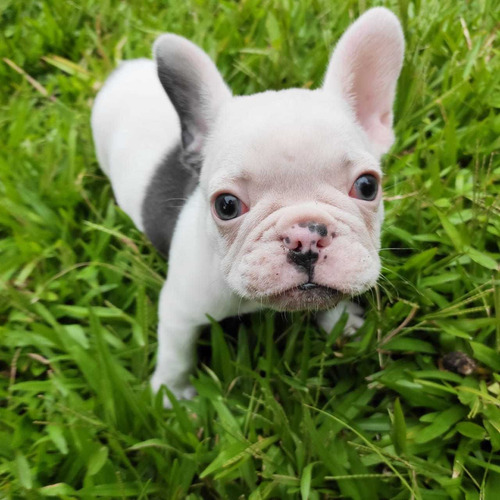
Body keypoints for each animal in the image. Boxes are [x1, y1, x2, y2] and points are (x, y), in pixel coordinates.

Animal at [92, 7, 404, 404]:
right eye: (226, 205)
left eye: (367, 186)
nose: (305, 237)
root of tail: (124, 70)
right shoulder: (179, 310)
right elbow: (177, 355)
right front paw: (172, 397)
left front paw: (341, 321)